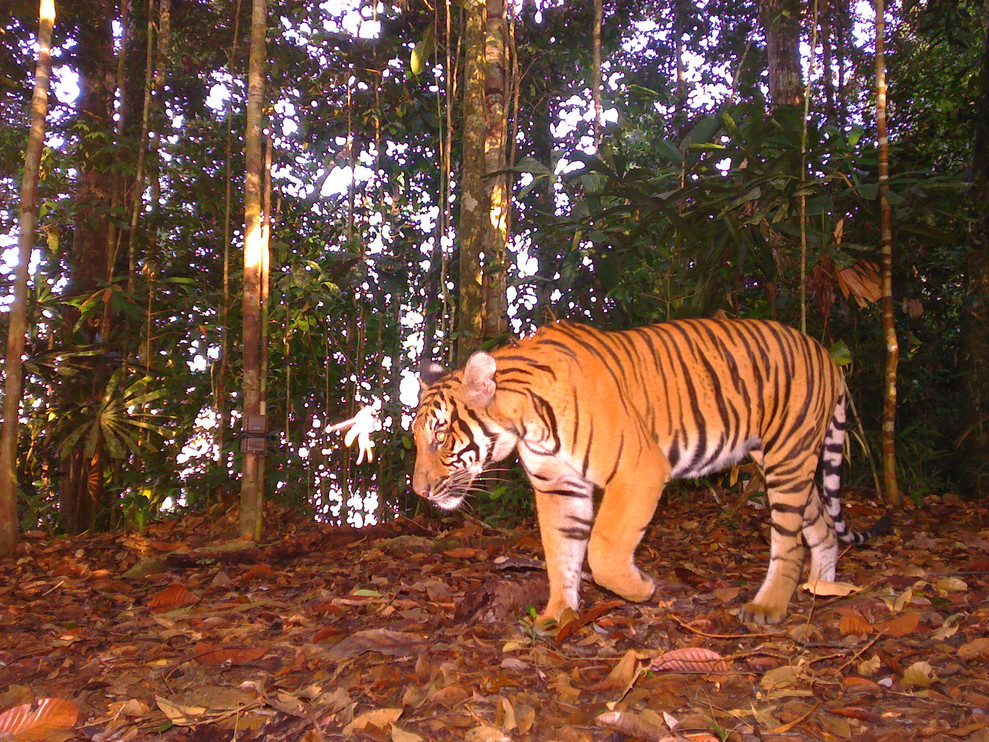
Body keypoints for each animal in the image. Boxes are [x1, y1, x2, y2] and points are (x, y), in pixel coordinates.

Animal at [412, 318, 889, 627]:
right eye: (415, 438)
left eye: (439, 436)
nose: (419, 491)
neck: (526, 423)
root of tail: (826, 353)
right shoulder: (558, 485)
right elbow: (560, 551)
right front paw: (556, 615)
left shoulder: (637, 468)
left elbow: (603, 549)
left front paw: (642, 589)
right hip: (791, 463)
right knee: (823, 528)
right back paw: (821, 590)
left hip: (787, 459)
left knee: (789, 543)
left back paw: (768, 608)